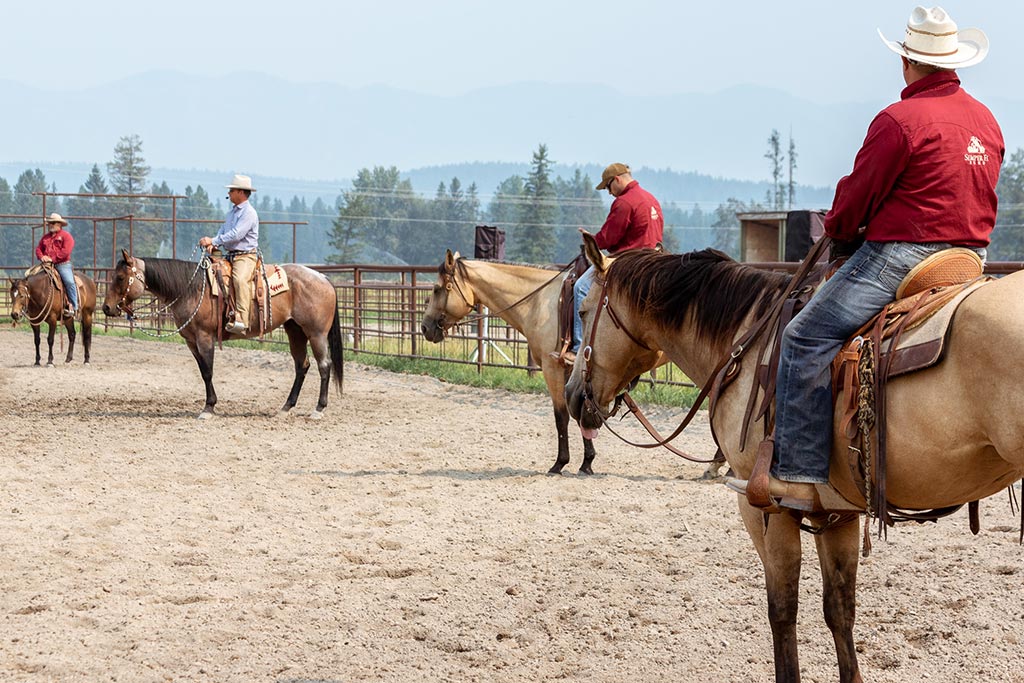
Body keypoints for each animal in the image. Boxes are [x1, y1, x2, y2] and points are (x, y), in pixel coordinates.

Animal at [102, 248, 344, 419]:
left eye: (121, 277)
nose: (106, 308)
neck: (191, 288)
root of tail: (323, 278)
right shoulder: (191, 341)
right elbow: (203, 371)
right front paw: (209, 404)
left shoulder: (205, 337)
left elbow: (208, 372)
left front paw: (208, 408)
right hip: (294, 330)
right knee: (302, 365)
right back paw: (286, 407)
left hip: (316, 333)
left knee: (324, 365)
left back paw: (318, 409)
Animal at [421, 250, 602, 475]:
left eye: (437, 289)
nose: (424, 327)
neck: (539, 301)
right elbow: (579, 411)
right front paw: (587, 462)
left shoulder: (553, 368)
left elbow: (561, 416)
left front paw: (560, 463)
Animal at [565, 231, 1024, 683]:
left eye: (584, 310)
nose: (572, 395)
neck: (748, 340)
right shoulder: (836, 513)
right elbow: (839, 610)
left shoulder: (765, 508)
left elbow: (782, 609)